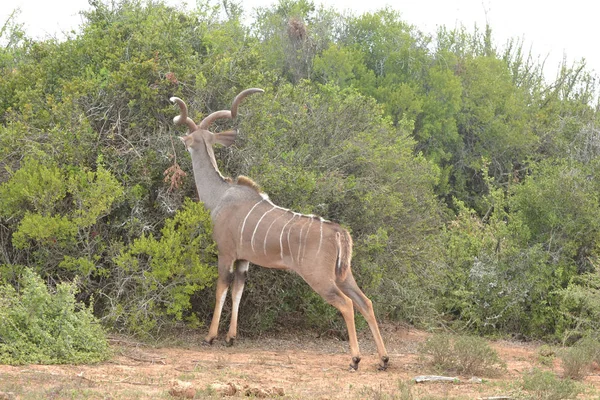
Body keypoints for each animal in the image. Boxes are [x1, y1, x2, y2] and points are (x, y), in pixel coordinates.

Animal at [170, 89, 390, 370]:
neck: (220, 195)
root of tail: (339, 232)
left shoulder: (226, 254)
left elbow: (221, 290)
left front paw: (210, 337)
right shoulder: (244, 260)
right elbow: (238, 291)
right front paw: (231, 338)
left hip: (319, 278)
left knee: (347, 304)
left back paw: (355, 359)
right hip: (344, 275)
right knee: (366, 302)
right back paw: (383, 359)